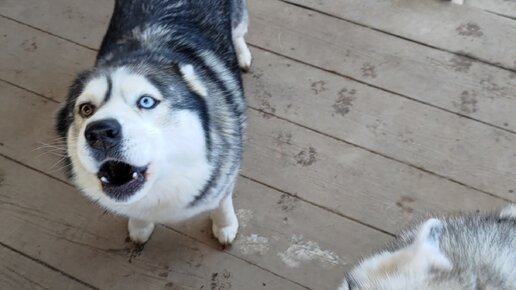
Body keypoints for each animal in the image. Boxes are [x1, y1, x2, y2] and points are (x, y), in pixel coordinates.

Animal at [55, 0, 252, 245]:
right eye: (86, 109)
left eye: (146, 101)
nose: (100, 133)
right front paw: (140, 225)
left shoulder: (225, 175)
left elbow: (221, 203)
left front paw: (225, 225)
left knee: (239, 30)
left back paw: (241, 53)